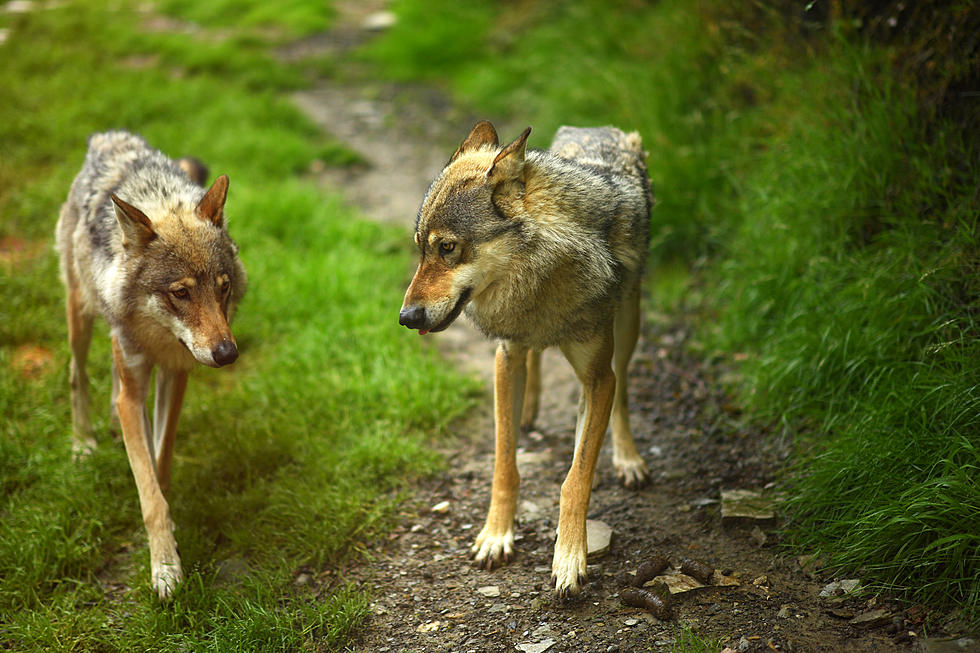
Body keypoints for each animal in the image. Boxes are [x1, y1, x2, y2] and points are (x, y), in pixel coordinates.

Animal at [55, 130, 247, 600]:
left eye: (223, 287)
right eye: (180, 293)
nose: (227, 354)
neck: (158, 336)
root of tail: (108, 137)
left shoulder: (176, 376)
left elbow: (159, 462)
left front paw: (171, 541)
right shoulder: (136, 388)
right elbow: (148, 495)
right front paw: (164, 568)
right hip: (80, 317)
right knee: (77, 375)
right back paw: (83, 443)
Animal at [398, 121, 652, 596]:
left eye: (448, 248)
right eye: (421, 248)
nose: (406, 318)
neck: (540, 276)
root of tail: (594, 127)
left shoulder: (598, 379)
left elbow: (576, 478)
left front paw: (569, 558)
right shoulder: (505, 357)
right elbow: (504, 465)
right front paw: (496, 535)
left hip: (629, 322)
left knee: (625, 386)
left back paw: (628, 459)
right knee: (535, 358)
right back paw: (531, 408)